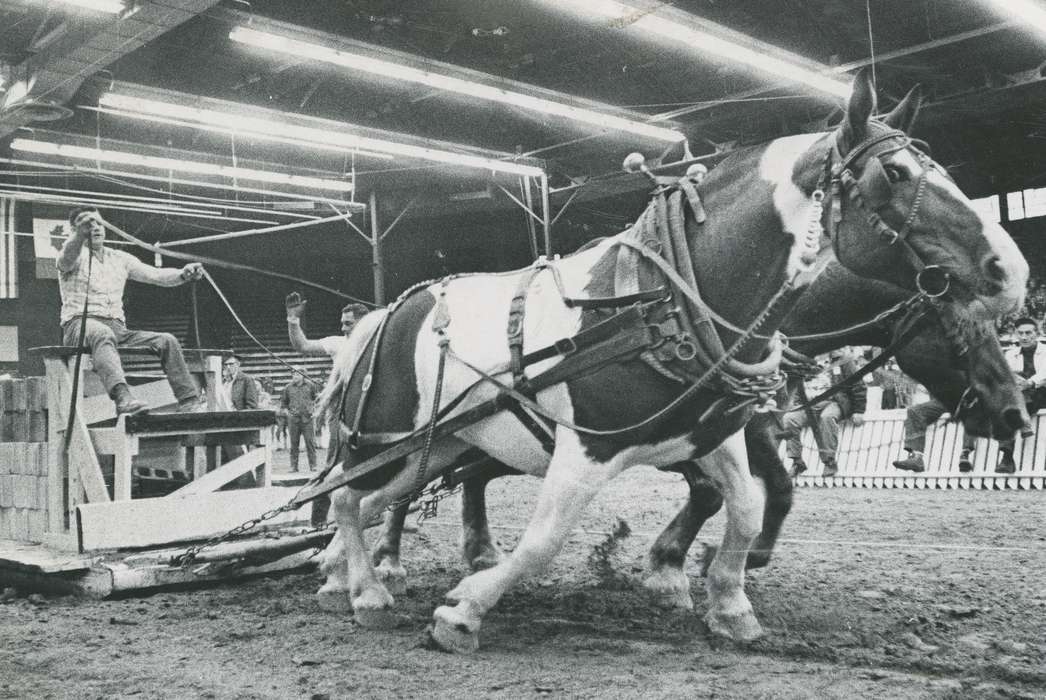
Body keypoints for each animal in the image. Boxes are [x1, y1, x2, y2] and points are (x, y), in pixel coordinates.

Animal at [315, 69, 1027, 653]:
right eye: (896, 175)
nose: (1012, 271)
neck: (665, 305)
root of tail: (386, 313)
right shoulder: (586, 449)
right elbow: (545, 540)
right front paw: (463, 612)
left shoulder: (718, 434)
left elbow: (744, 505)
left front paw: (725, 599)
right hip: (387, 442)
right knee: (348, 499)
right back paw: (365, 586)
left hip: (439, 446)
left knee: (373, 500)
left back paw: (357, 574)